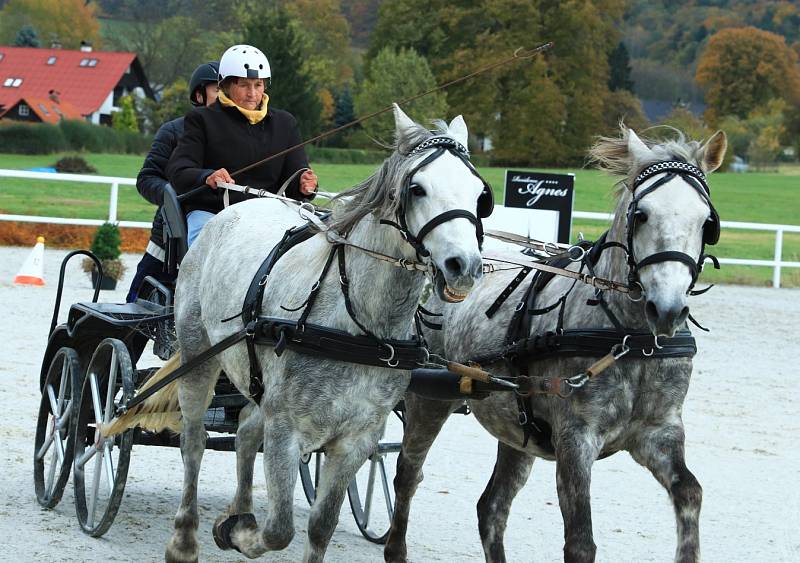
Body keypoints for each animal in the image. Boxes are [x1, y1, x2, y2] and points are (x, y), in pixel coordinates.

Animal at [384, 128, 728, 563]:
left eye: (707, 222)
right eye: (641, 215)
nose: (667, 308)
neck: (631, 341)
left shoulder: (659, 434)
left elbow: (690, 492)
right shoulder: (575, 438)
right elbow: (580, 540)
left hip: (515, 428)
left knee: (491, 507)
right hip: (428, 401)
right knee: (408, 475)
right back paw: (395, 546)